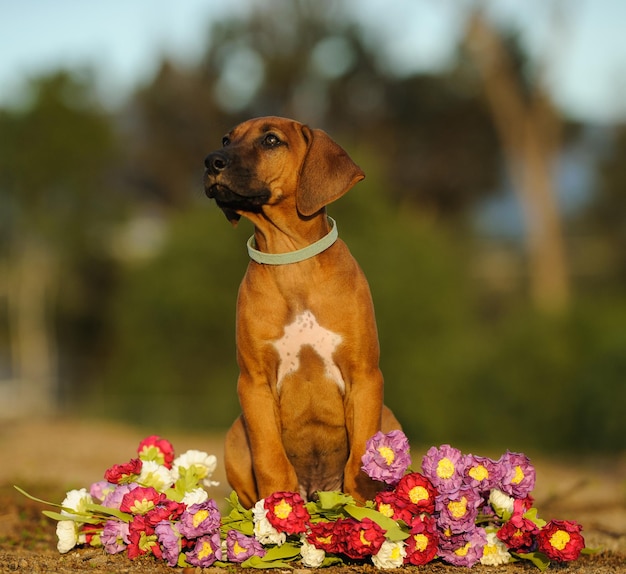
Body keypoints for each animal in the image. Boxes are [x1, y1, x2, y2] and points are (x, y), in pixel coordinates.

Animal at [205, 116, 400, 508]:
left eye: (271, 140)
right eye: (226, 139)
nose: (210, 161)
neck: (291, 260)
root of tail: (316, 489)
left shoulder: (365, 377)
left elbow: (361, 458)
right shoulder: (253, 383)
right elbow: (270, 461)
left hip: (390, 418)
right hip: (235, 435)